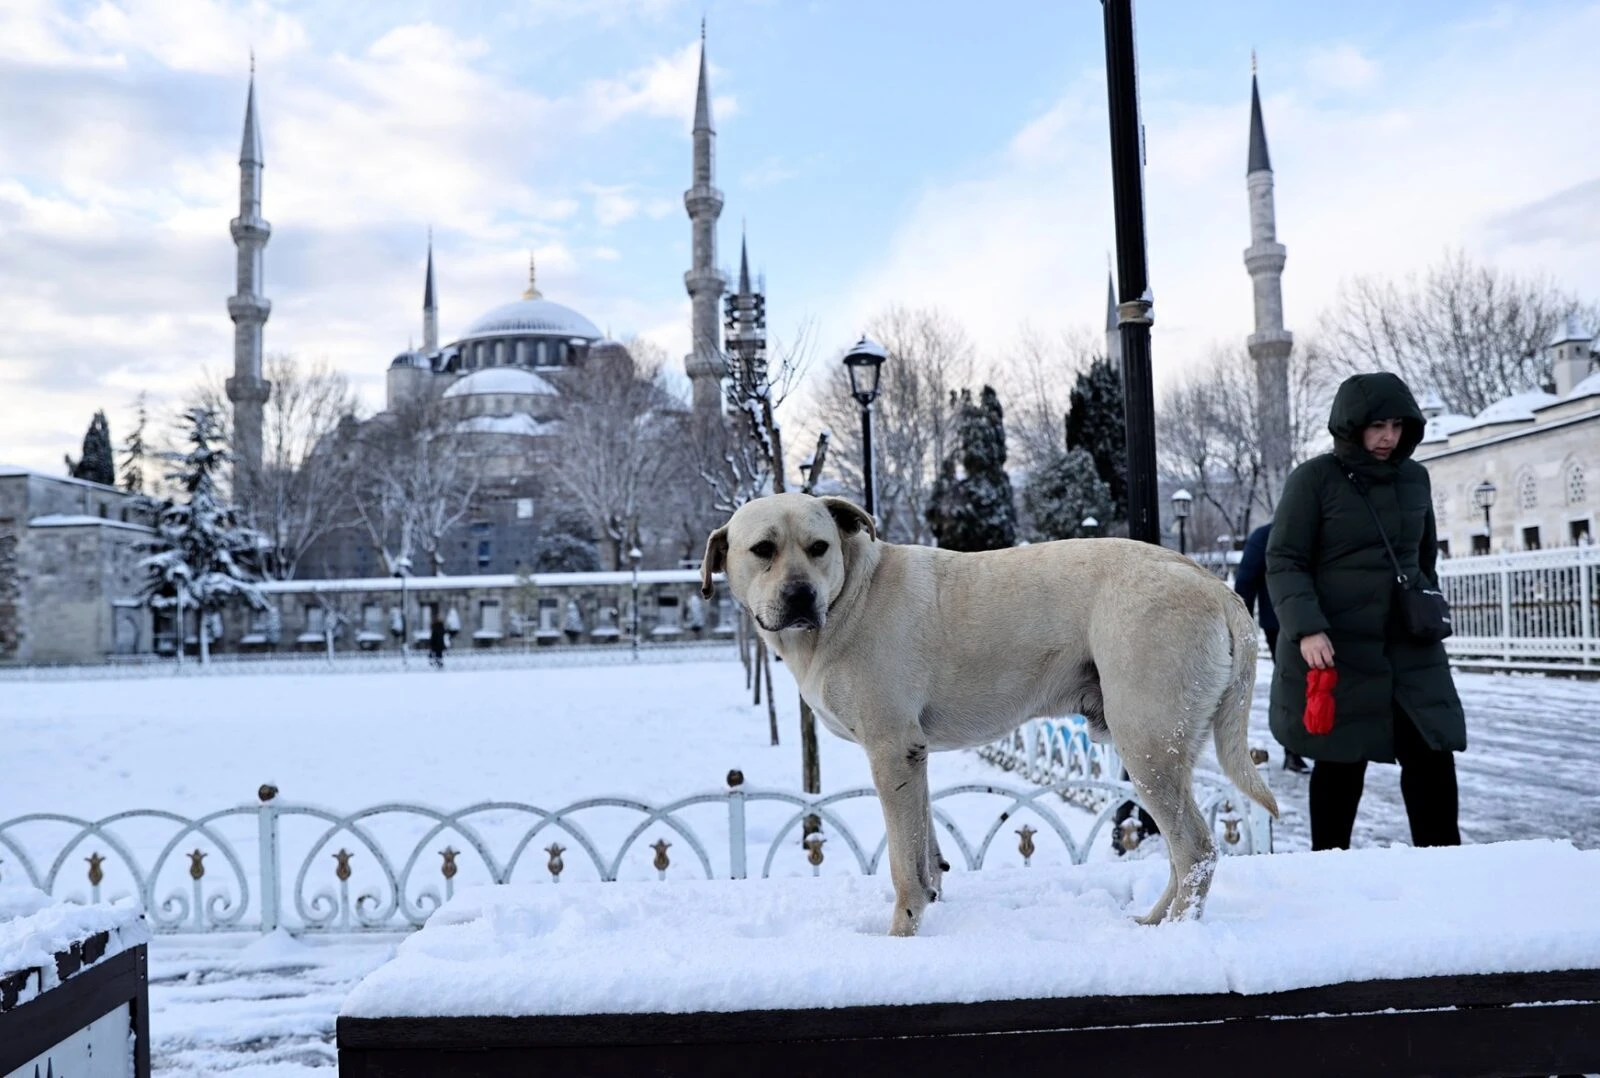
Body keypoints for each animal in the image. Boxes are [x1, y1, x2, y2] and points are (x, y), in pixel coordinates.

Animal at [700, 492, 1273, 934]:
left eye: (819, 548)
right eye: (763, 550)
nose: (800, 596)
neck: (850, 597)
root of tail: (1212, 583)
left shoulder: (890, 751)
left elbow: (902, 865)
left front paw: (901, 934)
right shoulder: (914, 757)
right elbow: (925, 850)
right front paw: (930, 900)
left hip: (1147, 744)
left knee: (1195, 850)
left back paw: (1175, 933)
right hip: (1162, 748)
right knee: (1179, 855)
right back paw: (1153, 922)